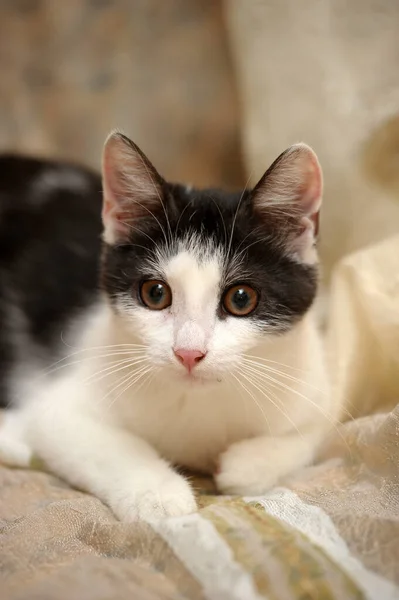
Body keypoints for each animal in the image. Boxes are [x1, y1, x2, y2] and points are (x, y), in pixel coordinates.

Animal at [0, 130, 332, 520]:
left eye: (241, 299)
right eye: (155, 293)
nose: (188, 352)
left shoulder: (315, 385)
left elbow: (310, 433)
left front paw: (248, 462)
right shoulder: (61, 405)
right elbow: (101, 442)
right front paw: (157, 493)